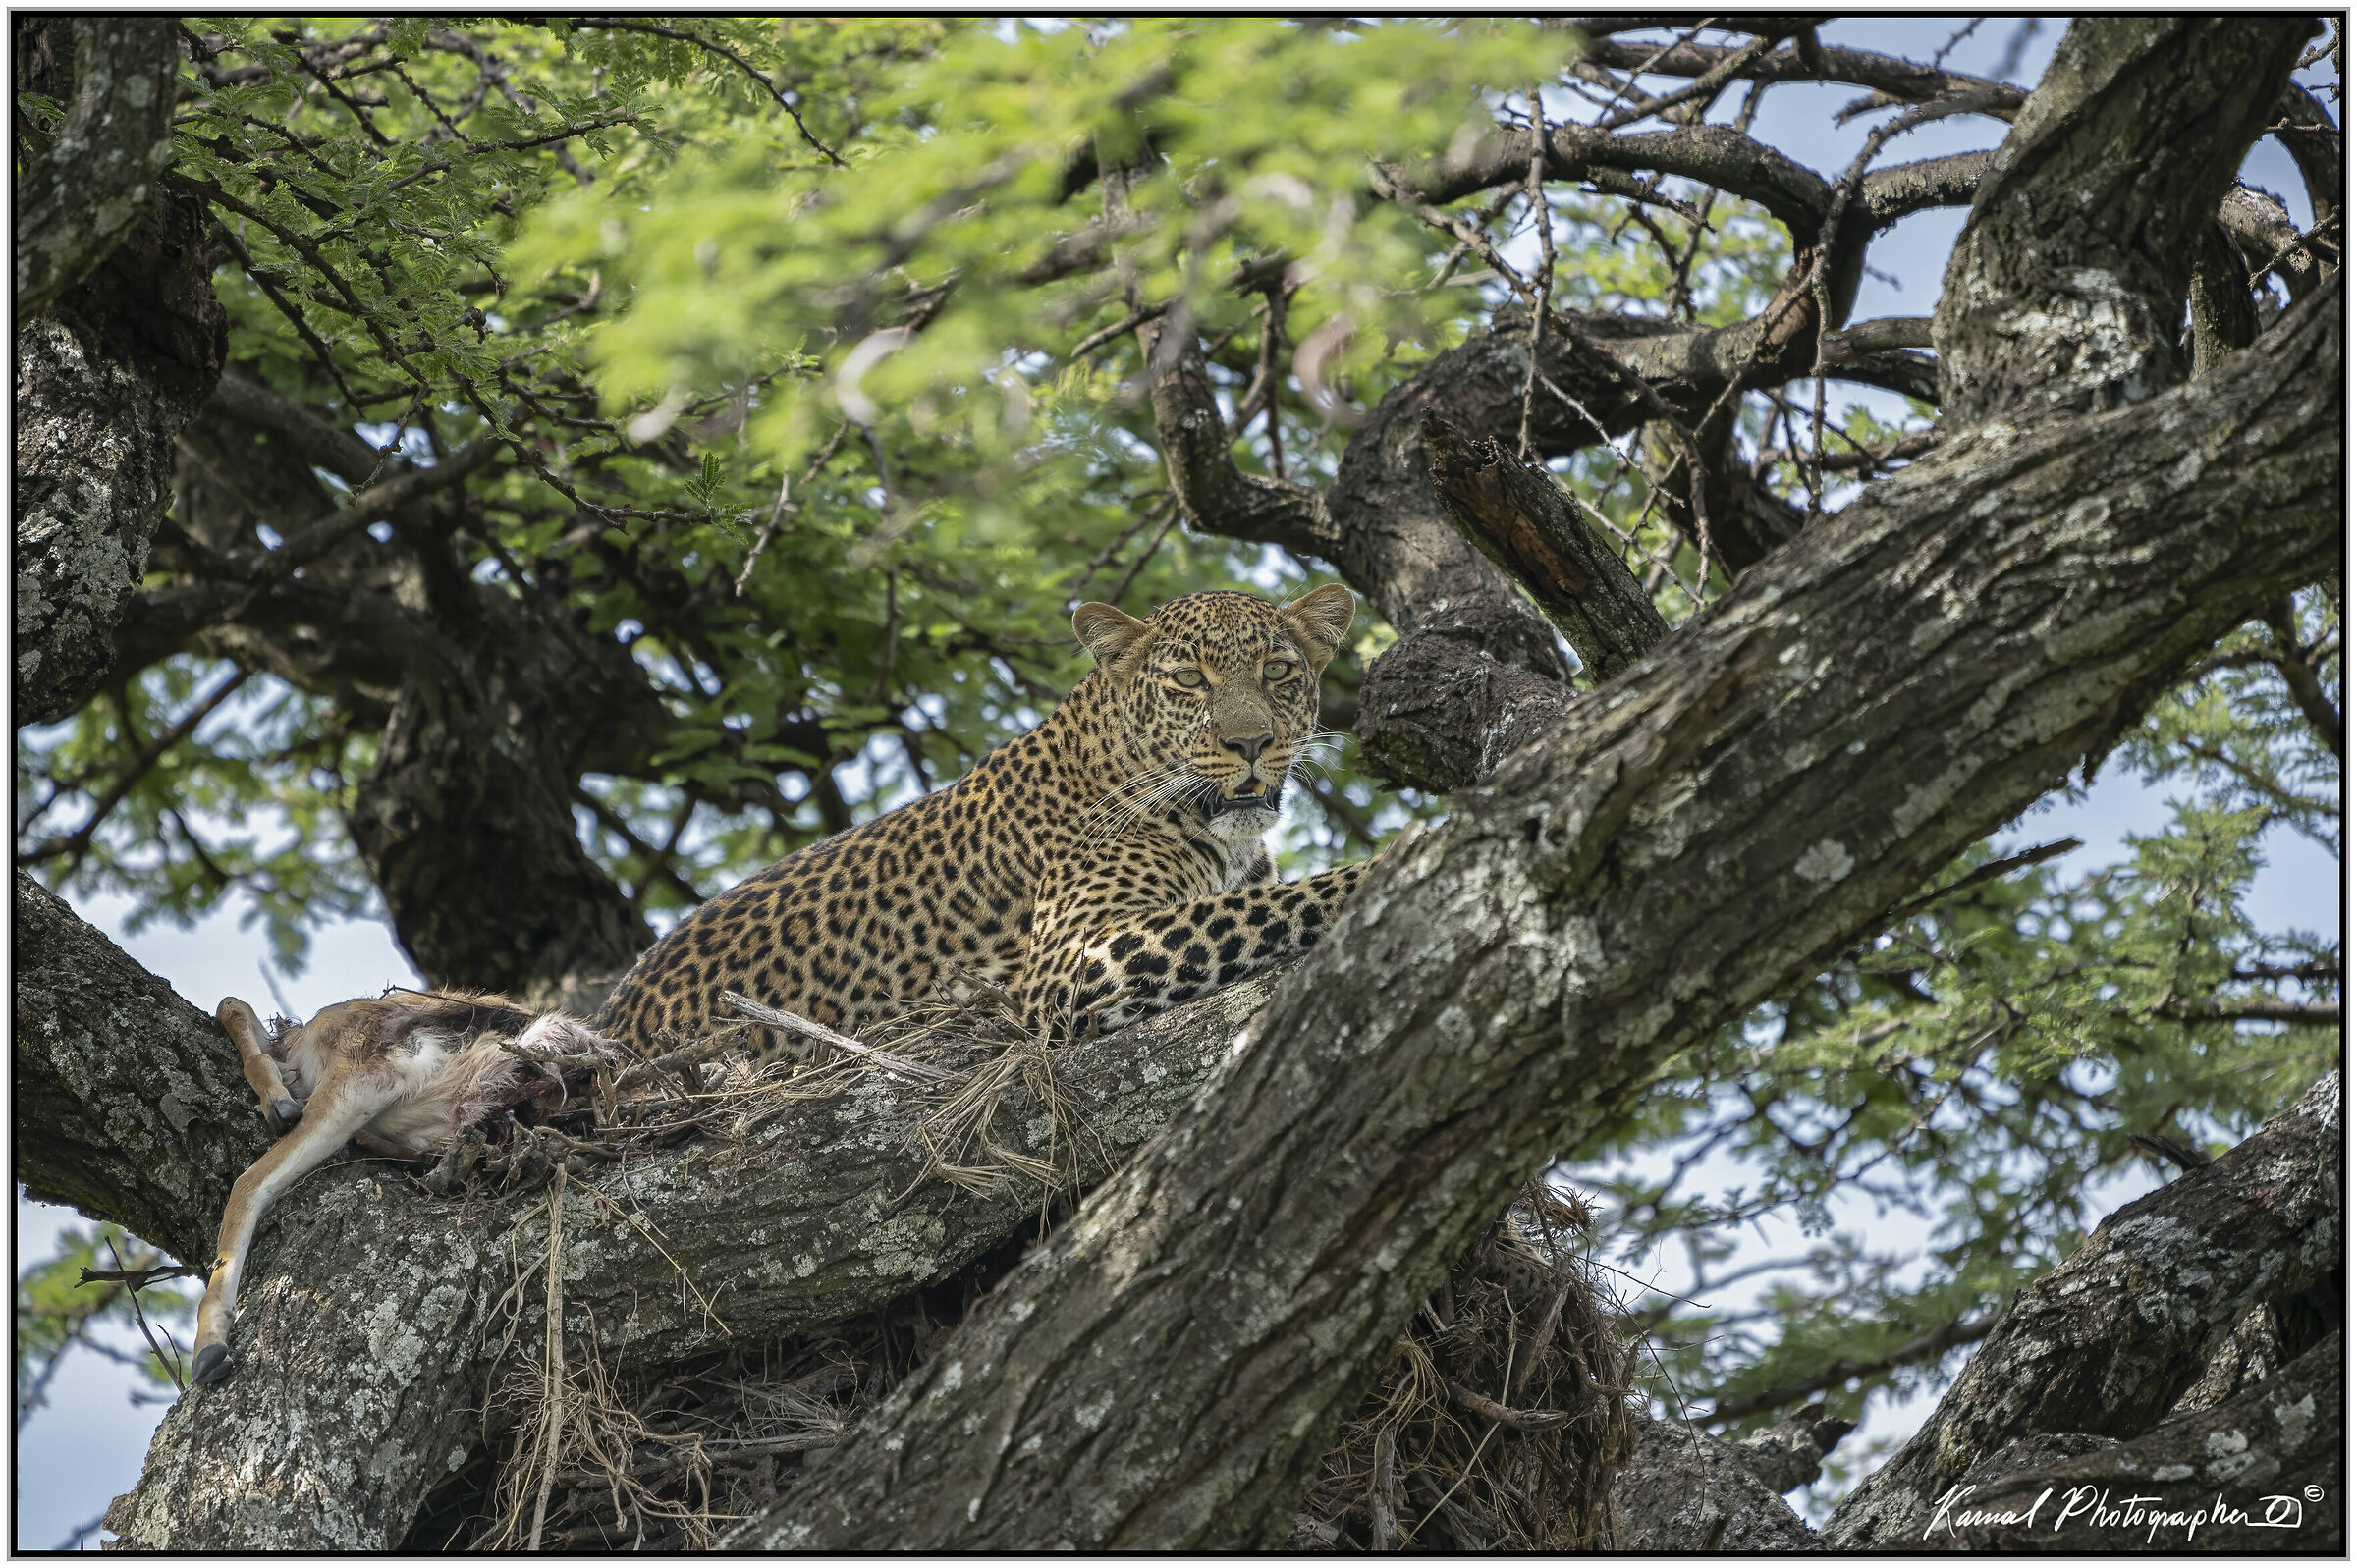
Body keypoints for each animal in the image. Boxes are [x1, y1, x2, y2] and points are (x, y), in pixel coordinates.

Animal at [596, 584, 1380, 1049]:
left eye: (1278, 671)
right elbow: (1271, 904)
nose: (1251, 743)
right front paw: (1384, 867)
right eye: (1190, 679)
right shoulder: (1068, 959)